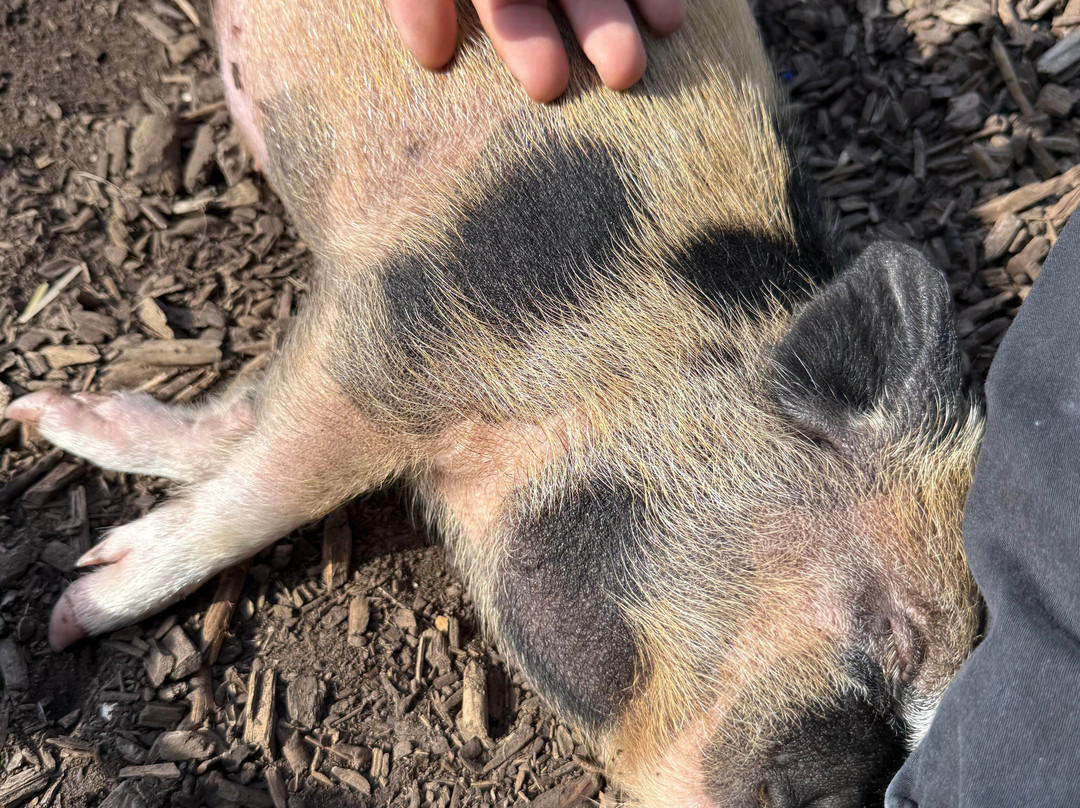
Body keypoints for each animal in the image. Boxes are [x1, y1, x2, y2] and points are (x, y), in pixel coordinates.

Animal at [4, 0, 985, 805]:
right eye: (889, 628)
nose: (847, 792)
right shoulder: (401, 324)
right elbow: (269, 488)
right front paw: (74, 605)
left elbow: (246, 427)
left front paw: (49, 422)